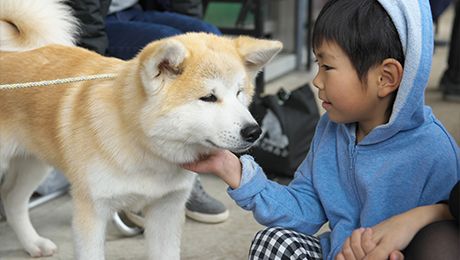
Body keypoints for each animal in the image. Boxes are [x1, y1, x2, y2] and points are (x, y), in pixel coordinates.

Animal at [0, 1, 282, 258]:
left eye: (239, 93)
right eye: (208, 98)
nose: (254, 132)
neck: (144, 149)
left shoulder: (166, 211)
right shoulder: (92, 211)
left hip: (33, 163)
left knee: (12, 199)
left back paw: (33, 243)